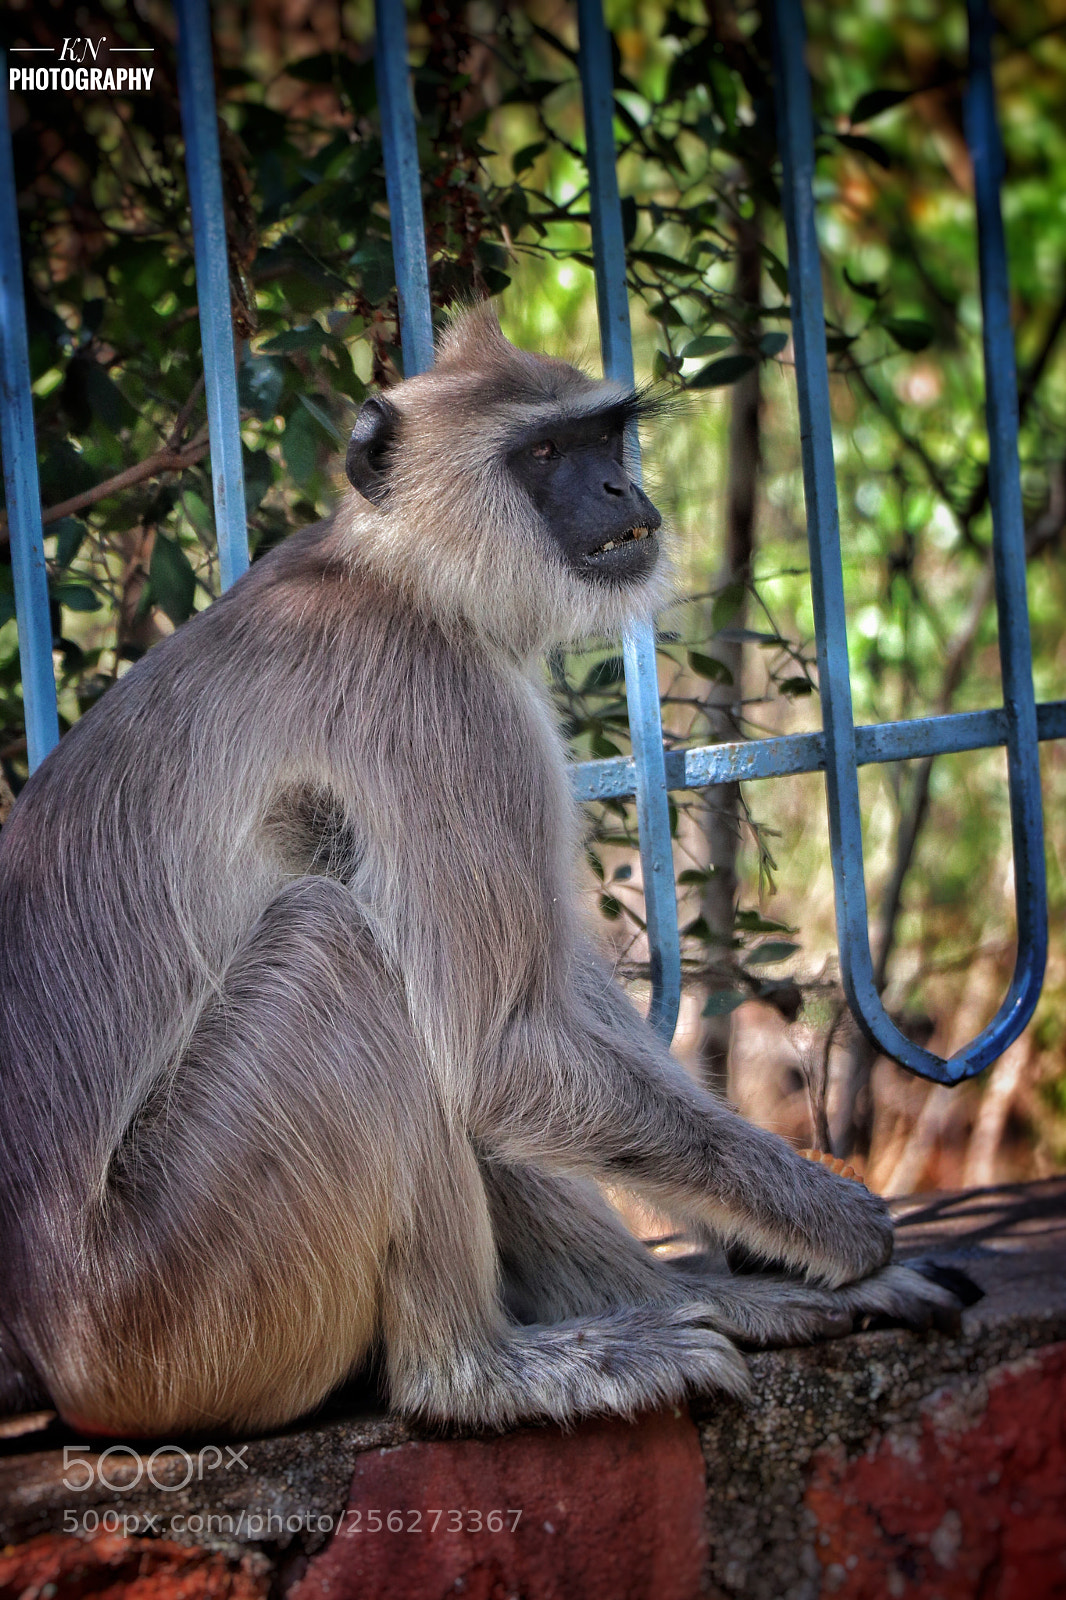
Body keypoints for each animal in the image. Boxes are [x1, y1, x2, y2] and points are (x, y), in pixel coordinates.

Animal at [0, 304, 958, 1440]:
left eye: (603, 436)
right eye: (542, 454)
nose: (616, 490)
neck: (392, 572)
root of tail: (49, 1344)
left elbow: (542, 1018)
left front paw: (761, 1255)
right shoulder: (439, 696)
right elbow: (501, 1053)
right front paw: (840, 1225)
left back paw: (675, 1300)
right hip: (173, 1314)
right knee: (341, 945)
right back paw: (477, 1374)